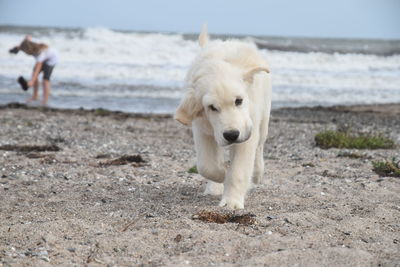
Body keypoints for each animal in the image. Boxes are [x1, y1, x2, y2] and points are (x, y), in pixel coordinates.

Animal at [175, 26, 272, 211]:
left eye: (239, 101)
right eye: (212, 107)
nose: (232, 135)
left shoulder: (247, 133)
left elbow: (238, 171)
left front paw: (232, 202)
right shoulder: (202, 130)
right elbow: (207, 165)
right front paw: (221, 175)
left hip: (263, 120)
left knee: (260, 148)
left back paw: (257, 174)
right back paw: (214, 187)